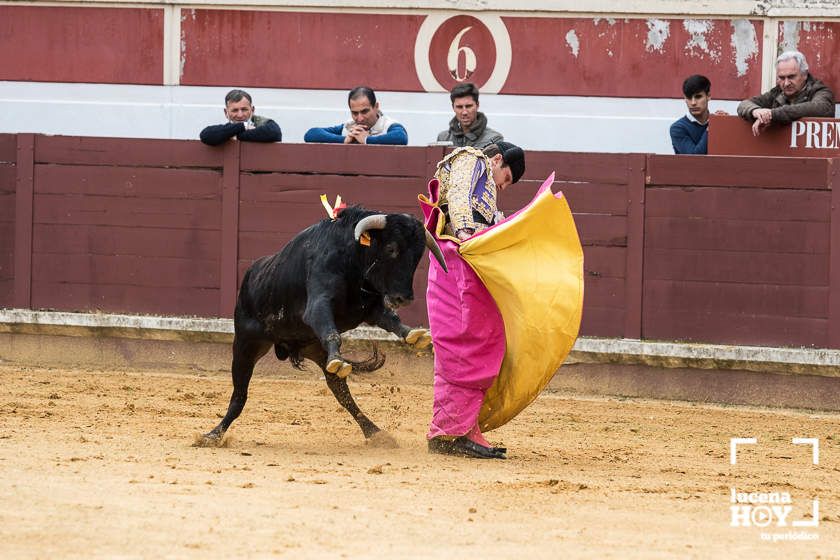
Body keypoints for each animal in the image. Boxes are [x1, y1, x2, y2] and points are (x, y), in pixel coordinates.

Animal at [199, 206, 446, 446]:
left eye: (418, 255)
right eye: (391, 248)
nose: (405, 298)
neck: (352, 261)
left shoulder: (371, 308)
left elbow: (391, 320)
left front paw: (414, 335)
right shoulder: (318, 305)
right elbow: (333, 333)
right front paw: (338, 359)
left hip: (313, 347)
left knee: (341, 392)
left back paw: (374, 432)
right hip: (245, 345)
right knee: (239, 394)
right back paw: (213, 435)